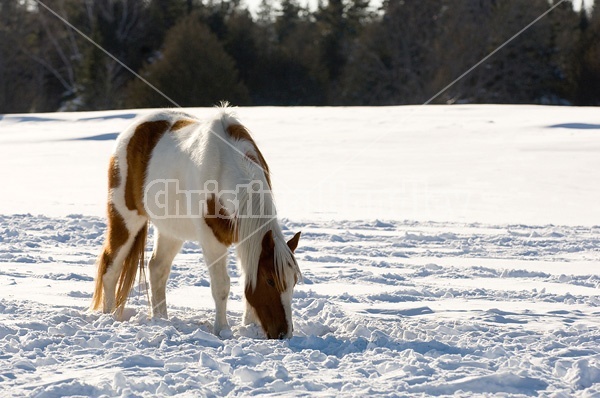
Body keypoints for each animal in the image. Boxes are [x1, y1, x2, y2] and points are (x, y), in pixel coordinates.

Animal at [91, 105, 302, 338]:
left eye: (293, 281)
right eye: (270, 280)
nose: (283, 334)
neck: (223, 167)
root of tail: (132, 130)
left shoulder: (245, 237)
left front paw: (248, 326)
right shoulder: (212, 240)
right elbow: (221, 286)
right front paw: (223, 329)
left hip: (171, 231)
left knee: (157, 268)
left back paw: (161, 320)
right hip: (125, 217)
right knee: (110, 268)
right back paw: (108, 316)